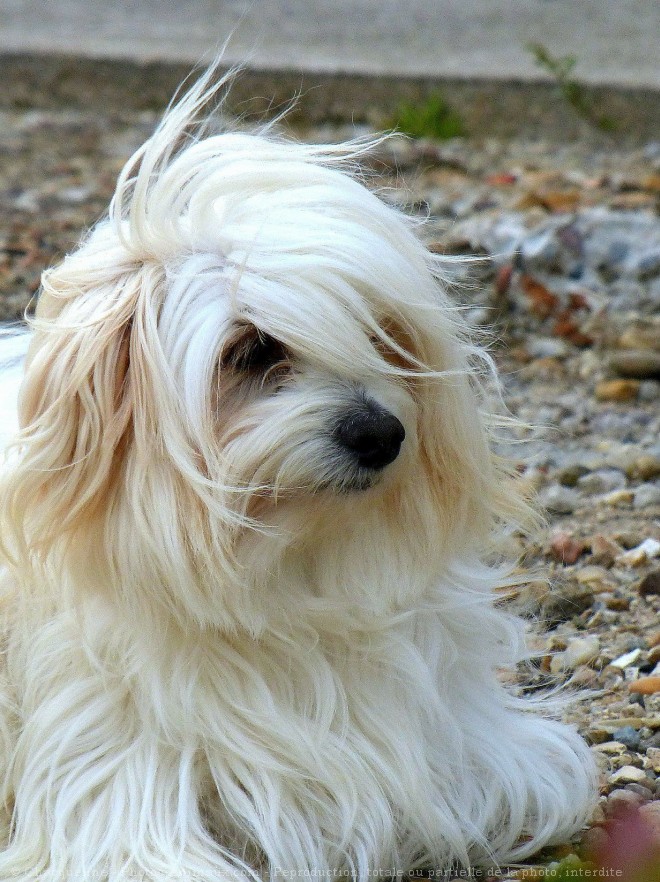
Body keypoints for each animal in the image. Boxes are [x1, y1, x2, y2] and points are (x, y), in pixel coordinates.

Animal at [0, 65, 600, 876]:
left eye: (382, 335)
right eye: (253, 350)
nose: (380, 434)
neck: (282, 575)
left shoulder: (487, 759)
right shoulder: (116, 802)